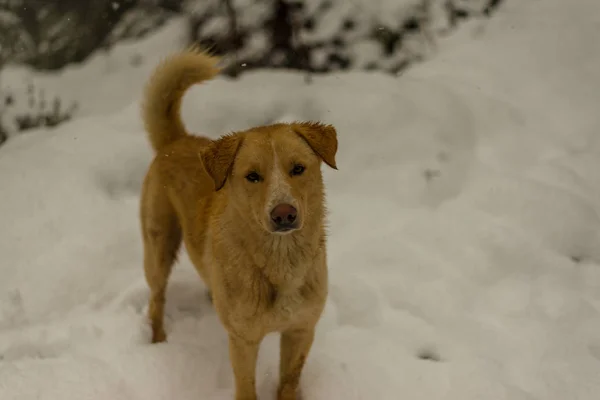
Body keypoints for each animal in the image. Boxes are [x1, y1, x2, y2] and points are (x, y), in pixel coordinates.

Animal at [139, 47, 338, 400]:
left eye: (298, 168)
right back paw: (159, 342)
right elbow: (246, 388)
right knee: (155, 301)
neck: (280, 263)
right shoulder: (244, 341)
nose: (284, 213)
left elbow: (289, 381)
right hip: (158, 249)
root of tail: (176, 141)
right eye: (253, 176)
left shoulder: (301, 330)